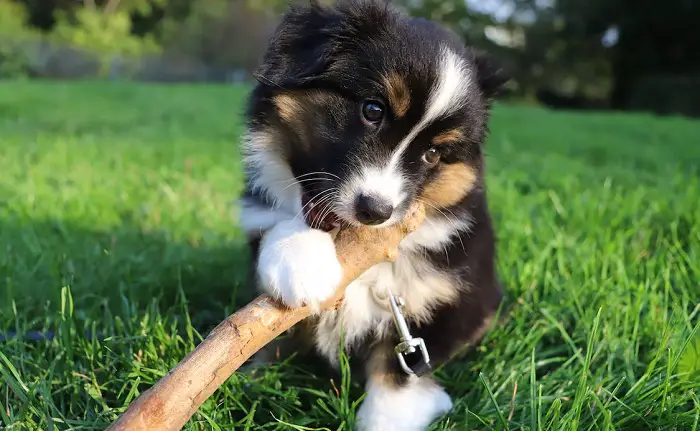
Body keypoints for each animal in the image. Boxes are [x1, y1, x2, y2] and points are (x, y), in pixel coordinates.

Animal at [238, 1, 506, 430]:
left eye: (433, 154)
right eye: (372, 110)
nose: (376, 212)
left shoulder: (459, 301)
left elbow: (399, 367)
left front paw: (388, 416)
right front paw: (299, 259)